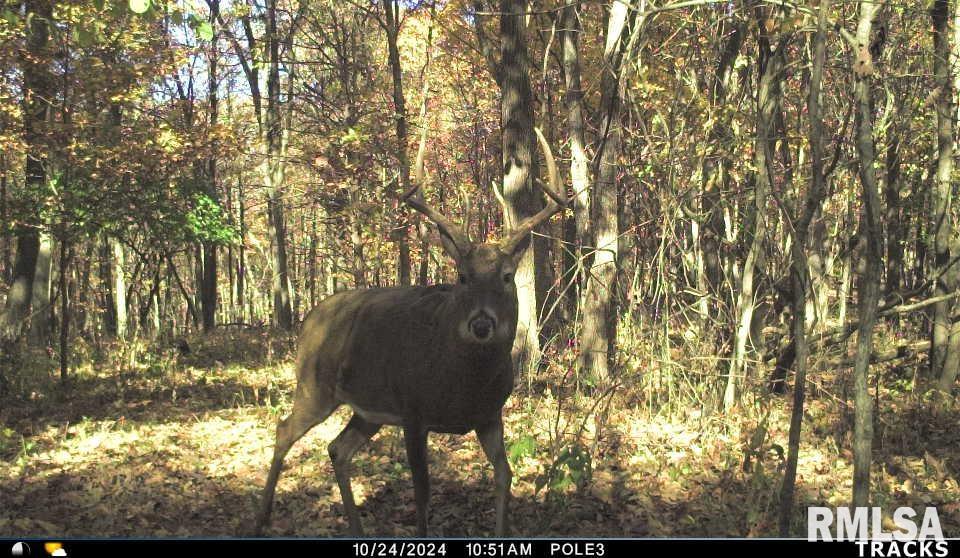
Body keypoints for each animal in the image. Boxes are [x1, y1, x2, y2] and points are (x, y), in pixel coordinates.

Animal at [253, 129, 568, 540]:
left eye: (506, 276)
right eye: (462, 276)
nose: (481, 324)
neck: (463, 384)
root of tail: (309, 319)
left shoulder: (489, 415)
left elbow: (504, 475)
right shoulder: (414, 412)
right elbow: (422, 491)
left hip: (368, 409)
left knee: (338, 449)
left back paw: (355, 529)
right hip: (313, 386)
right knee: (283, 430)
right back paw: (260, 519)